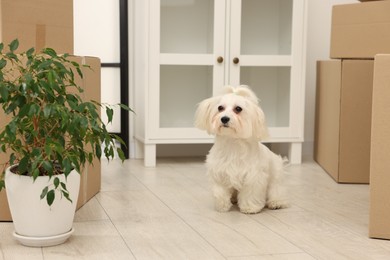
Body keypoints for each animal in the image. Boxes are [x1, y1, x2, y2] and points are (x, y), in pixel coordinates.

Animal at [195, 85, 290, 213]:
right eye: (220, 108)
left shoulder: (254, 176)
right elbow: (220, 192)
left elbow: (250, 193)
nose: (224, 118)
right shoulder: (218, 173)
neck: (232, 144)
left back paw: (276, 202)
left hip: (276, 176)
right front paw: (222, 206)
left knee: (277, 190)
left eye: (238, 109)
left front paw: (250, 208)